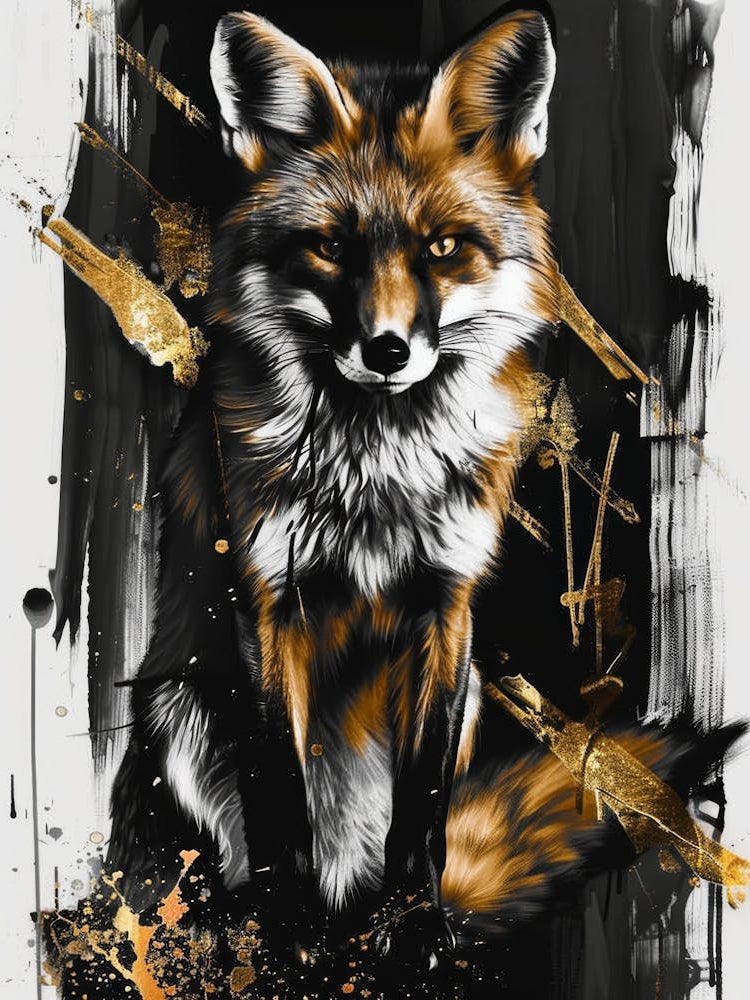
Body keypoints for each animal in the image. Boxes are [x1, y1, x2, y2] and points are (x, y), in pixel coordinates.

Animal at [106, 6, 721, 977]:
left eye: (441, 248)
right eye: (330, 247)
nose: (389, 350)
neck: (376, 477)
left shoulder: (448, 606)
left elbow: (423, 808)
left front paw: (417, 928)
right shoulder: (267, 605)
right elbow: (280, 799)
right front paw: (291, 934)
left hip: (468, 695)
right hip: (177, 709)